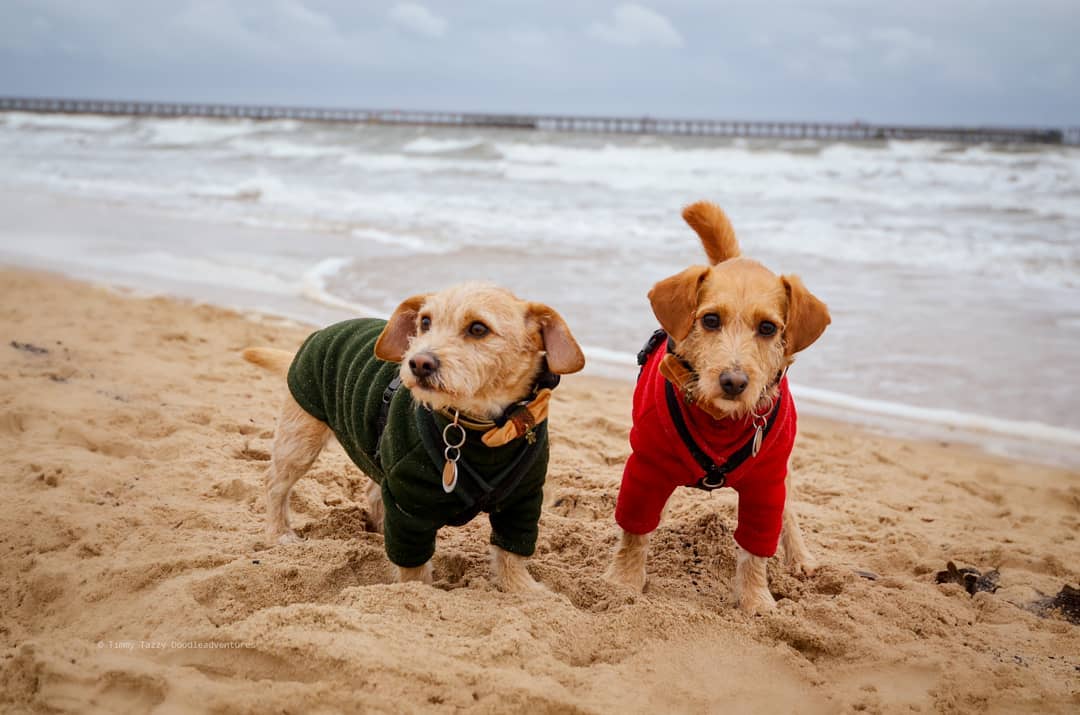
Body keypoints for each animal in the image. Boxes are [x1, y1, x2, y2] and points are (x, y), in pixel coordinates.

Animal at [241, 285, 587, 591]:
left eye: (478, 328)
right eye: (425, 322)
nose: (419, 363)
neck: (483, 428)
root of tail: (318, 333)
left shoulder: (522, 502)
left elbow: (511, 553)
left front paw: (524, 590)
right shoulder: (408, 505)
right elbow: (414, 567)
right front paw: (416, 595)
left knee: (371, 492)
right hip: (300, 439)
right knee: (275, 484)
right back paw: (278, 533)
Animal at [609, 203, 825, 617]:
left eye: (768, 328)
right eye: (710, 319)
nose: (734, 382)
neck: (718, 419)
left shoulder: (766, 485)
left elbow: (757, 548)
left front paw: (756, 601)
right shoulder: (646, 469)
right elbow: (634, 531)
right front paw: (623, 583)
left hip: (784, 470)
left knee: (789, 513)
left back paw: (801, 558)